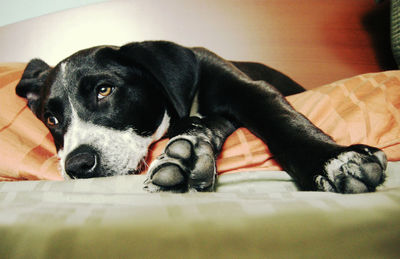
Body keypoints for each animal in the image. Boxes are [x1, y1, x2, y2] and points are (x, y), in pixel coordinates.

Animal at [16, 41, 388, 194]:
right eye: (51, 120)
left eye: (104, 90)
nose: (78, 165)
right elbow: (200, 126)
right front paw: (187, 156)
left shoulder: (246, 88)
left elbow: (280, 117)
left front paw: (331, 160)